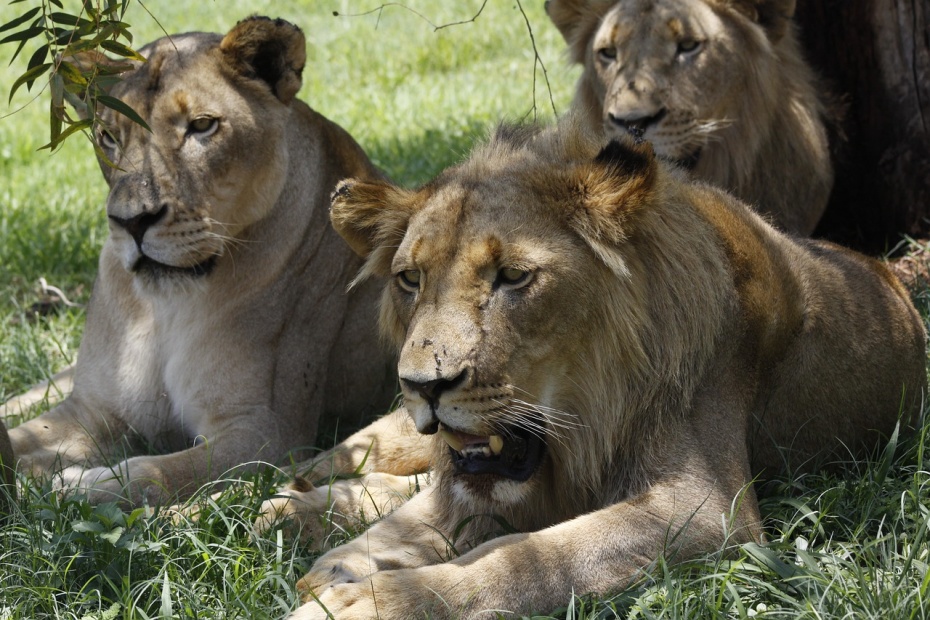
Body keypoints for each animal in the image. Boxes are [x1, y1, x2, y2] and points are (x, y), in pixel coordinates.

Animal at [1, 17, 392, 506]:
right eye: (108, 137)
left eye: (202, 126)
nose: (132, 222)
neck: (162, 308)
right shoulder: (91, 409)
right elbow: (26, 436)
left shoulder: (266, 434)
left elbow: (156, 472)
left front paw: (80, 484)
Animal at [274, 118, 920, 616]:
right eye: (410, 279)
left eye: (513, 276)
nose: (423, 386)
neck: (580, 431)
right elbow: (428, 514)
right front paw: (343, 564)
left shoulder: (707, 512)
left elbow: (528, 558)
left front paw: (368, 600)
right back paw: (295, 501)